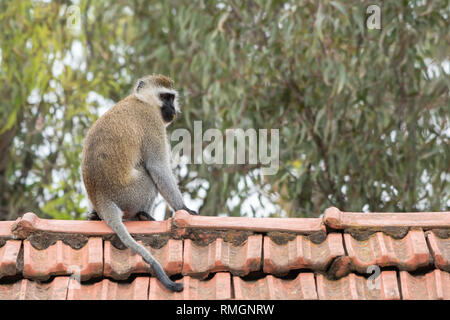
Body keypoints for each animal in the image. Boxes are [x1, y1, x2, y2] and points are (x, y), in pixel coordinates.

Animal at [81, 74, 198, 292]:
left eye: (172, 97)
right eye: (165, 97)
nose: (173, 108)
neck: (142, 101)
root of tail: (101, 196)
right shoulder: (152, 123)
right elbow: (157, 167)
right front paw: (184, 208)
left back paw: (95, 215)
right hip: (130, 193)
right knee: (150, 180)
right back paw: (143, 215)